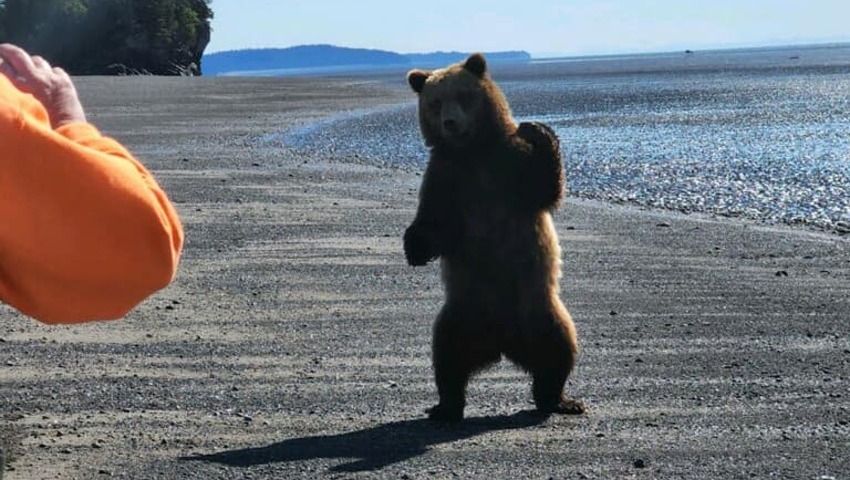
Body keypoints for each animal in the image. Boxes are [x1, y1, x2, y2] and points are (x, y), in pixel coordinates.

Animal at [404, 52, 584, 420]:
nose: (450, 123)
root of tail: (502, 342)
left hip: (539, 310)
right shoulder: (446, 176)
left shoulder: (509, 165)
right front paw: (414, 247)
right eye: (435, 102)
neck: (472, 152)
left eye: (463, 96)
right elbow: (434, 222)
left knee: (558, 350)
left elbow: (546, 187)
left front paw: (538, 129)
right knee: (447, 357)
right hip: (462, 313)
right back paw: (445, 407)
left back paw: (560, 400)